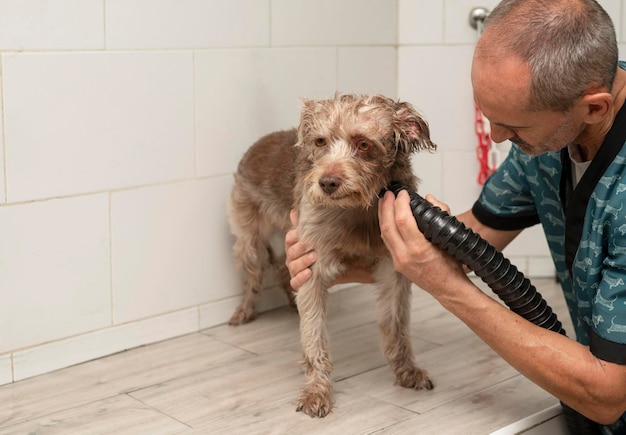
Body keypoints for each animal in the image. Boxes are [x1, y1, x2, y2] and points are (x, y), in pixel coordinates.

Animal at [227, 93, 436, 418]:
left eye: (363, 144)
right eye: (320, 141)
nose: (326, 183)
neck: (358, 211)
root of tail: (258, 143)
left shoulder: (393, 270)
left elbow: (396, 327)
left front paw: (406, 371)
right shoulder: (312, 264)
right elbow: (315, 338)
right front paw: (316, 391)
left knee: (283, 270)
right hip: (250, 240)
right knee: (256, 273)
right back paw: (245, 311)